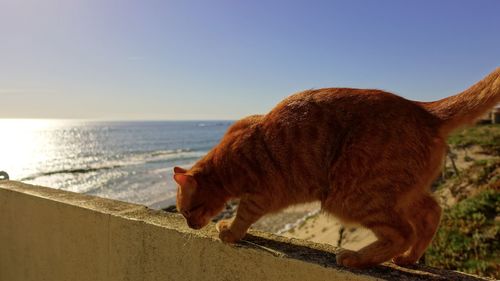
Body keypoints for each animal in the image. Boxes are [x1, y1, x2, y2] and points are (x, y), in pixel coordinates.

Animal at [173, 67, 500, 266]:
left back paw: (356, 258)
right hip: (404, 193)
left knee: (402, 232)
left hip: (350, 197)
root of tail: (424, 109)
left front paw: (228, 230)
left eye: (187, 212)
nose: (190, 225)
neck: (227, 162)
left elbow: (243, 215)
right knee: (432, 213)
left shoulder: (260, 195)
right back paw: (408, 259)